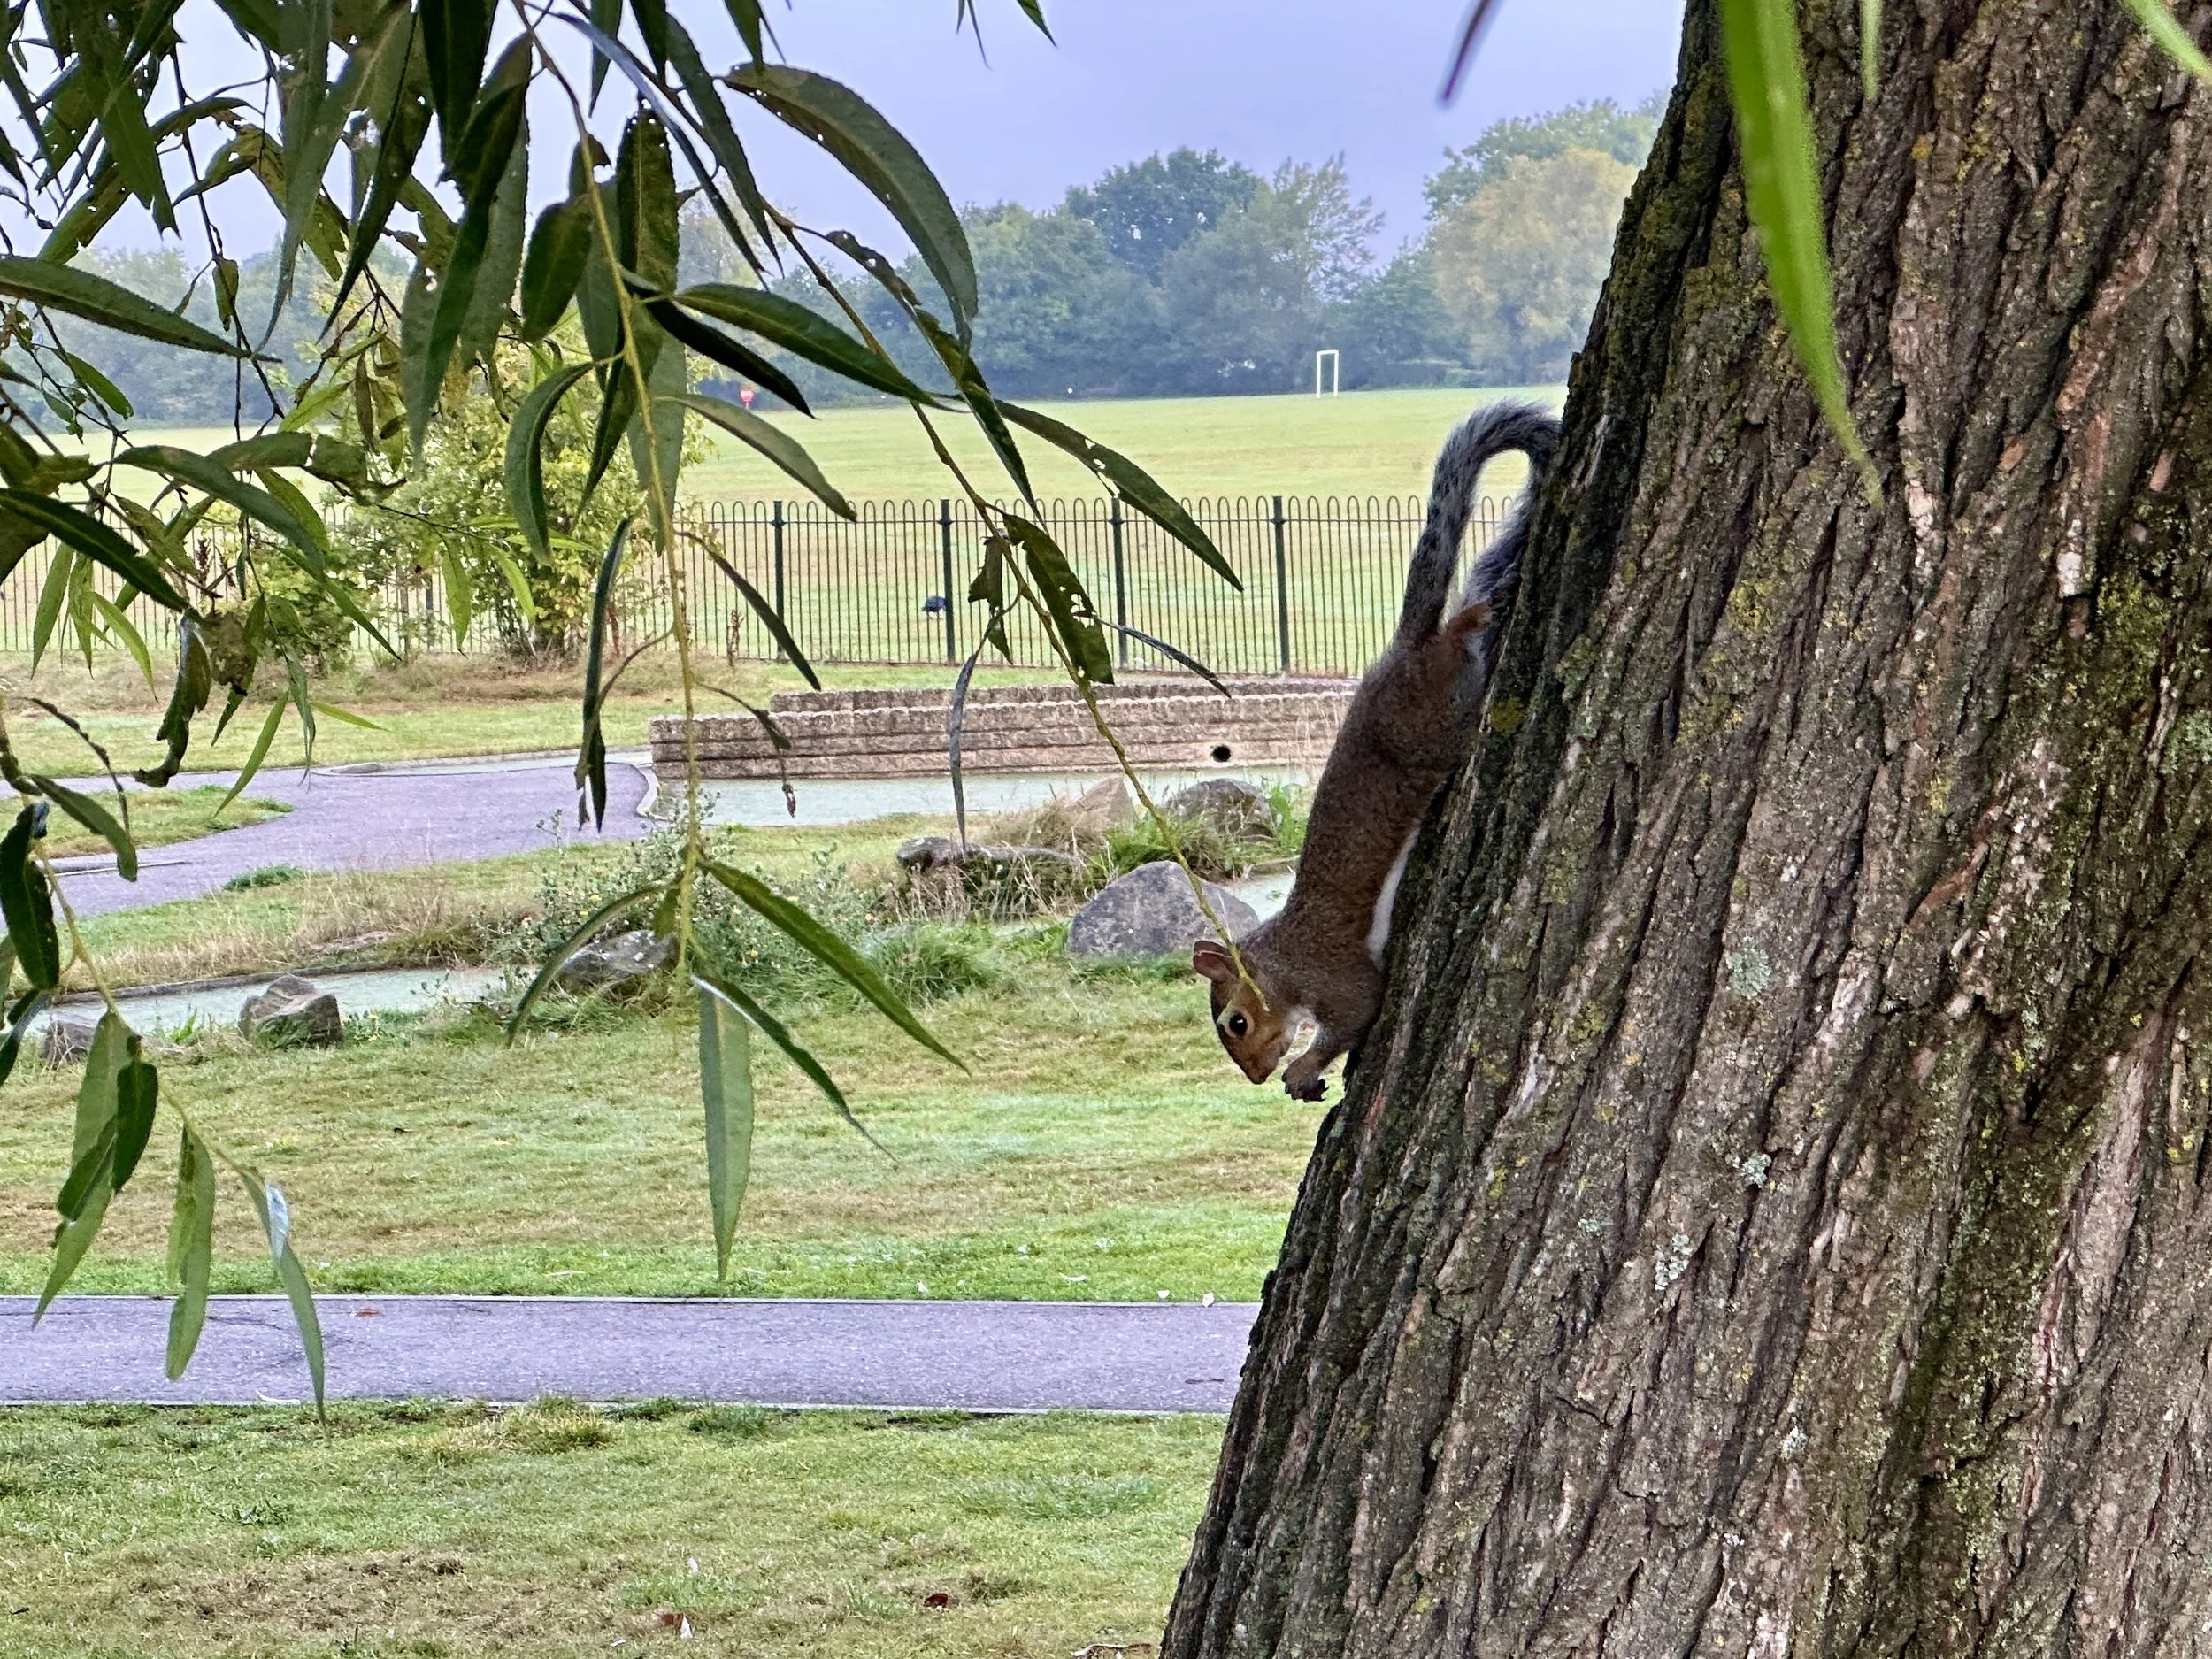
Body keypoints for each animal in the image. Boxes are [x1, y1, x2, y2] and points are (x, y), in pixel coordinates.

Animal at [1193, 401, 1560, 1101]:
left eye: (1236, 1022)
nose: (1256, 1075)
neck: (1283, 959)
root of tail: (1403, 651)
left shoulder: (1335, 974)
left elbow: (1360, 1011)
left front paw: (1304, 1068)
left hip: (1433, 726)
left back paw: (1469, 619)